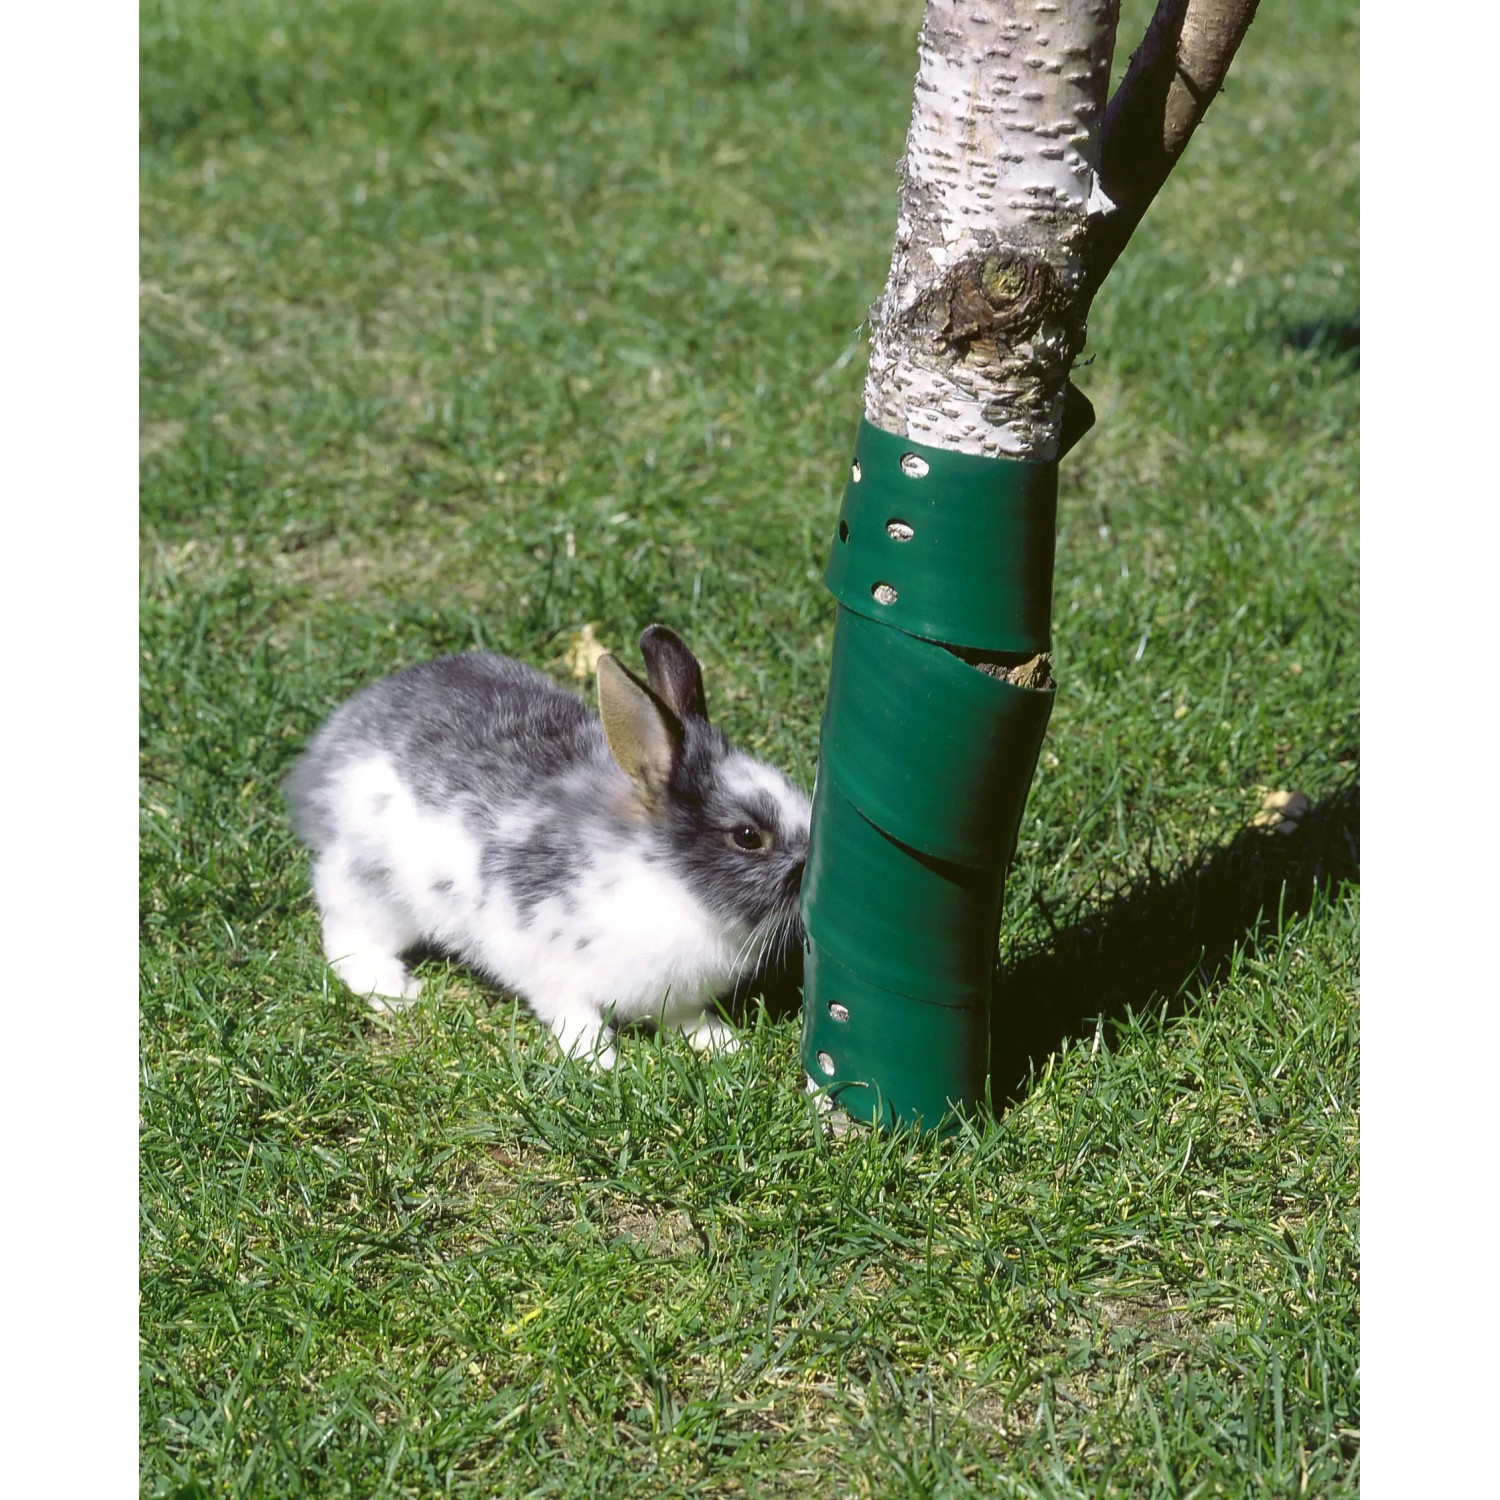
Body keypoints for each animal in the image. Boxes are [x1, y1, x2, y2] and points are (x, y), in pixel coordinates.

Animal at [284, 625, 811, 1068]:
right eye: (747, 837)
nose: (812, 870)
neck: (671, 883)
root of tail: (326, 757)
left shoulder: (675, 996)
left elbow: (685, 1019)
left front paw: (722, 1044)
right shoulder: (552, 971)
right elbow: (575, 1016)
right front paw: (598, 1063)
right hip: (373, 888)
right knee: (343, 934)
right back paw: (394, 987)